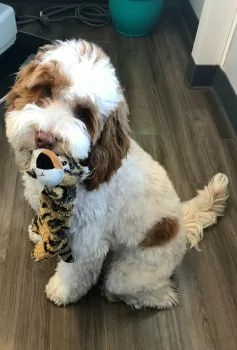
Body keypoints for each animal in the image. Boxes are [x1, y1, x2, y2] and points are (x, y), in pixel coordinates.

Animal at [4, 39, 230, 308]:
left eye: (83, 114)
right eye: (45, 90)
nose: (44, 138)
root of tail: (182, 227)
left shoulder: (87, 238)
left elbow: (75, 270)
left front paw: (62, 290)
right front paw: (41, 233)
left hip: (131, 273)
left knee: (157, 294)